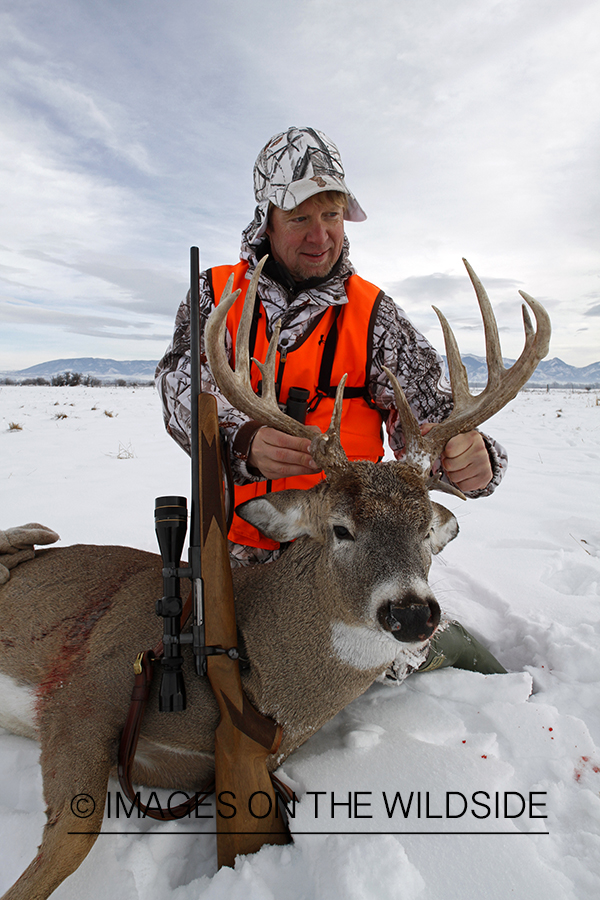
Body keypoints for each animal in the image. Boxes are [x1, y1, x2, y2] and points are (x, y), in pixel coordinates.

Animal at [0, 259, 550, 900]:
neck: (266, 680)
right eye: (340, 529)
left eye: (425, 534)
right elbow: (69, 842)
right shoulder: (80, 688)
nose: (412, 612)